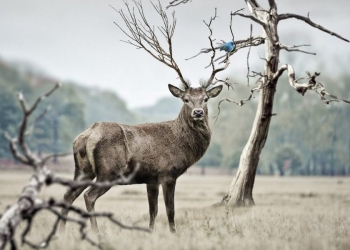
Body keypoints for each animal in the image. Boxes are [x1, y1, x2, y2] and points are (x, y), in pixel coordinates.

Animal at [60, 0, 230, 233]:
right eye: (185, 99)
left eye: (205, 99)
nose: (198, 112)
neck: (183, 145)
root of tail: (86, 136)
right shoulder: (168, 172)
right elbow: (170, 210)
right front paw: (174, 233)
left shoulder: (151, 178)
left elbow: (153, 211)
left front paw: (149, 232)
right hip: (109, 171)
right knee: (89, 196)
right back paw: (95, 231)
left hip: (83, 170)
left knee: (68, 195)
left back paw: (60, 231)